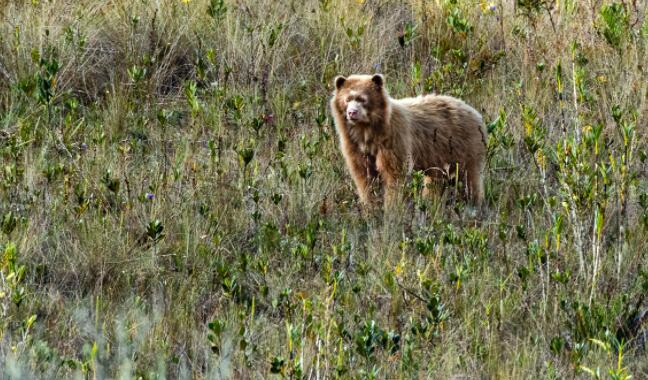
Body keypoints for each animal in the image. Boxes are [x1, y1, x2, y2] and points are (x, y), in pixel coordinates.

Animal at [330, 73, 486, 206]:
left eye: (362, 99)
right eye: (347, 99)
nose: (352, 112)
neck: (368, 132)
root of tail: (474, 111)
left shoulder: (393, 138)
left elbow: (394, 173)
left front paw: (392, 207)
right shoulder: (355, 146)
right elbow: (364, 176)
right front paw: (371, 206)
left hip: (463, 147)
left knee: (468, 178)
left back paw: (474, 203)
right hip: (440, 156)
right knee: (436, 181)